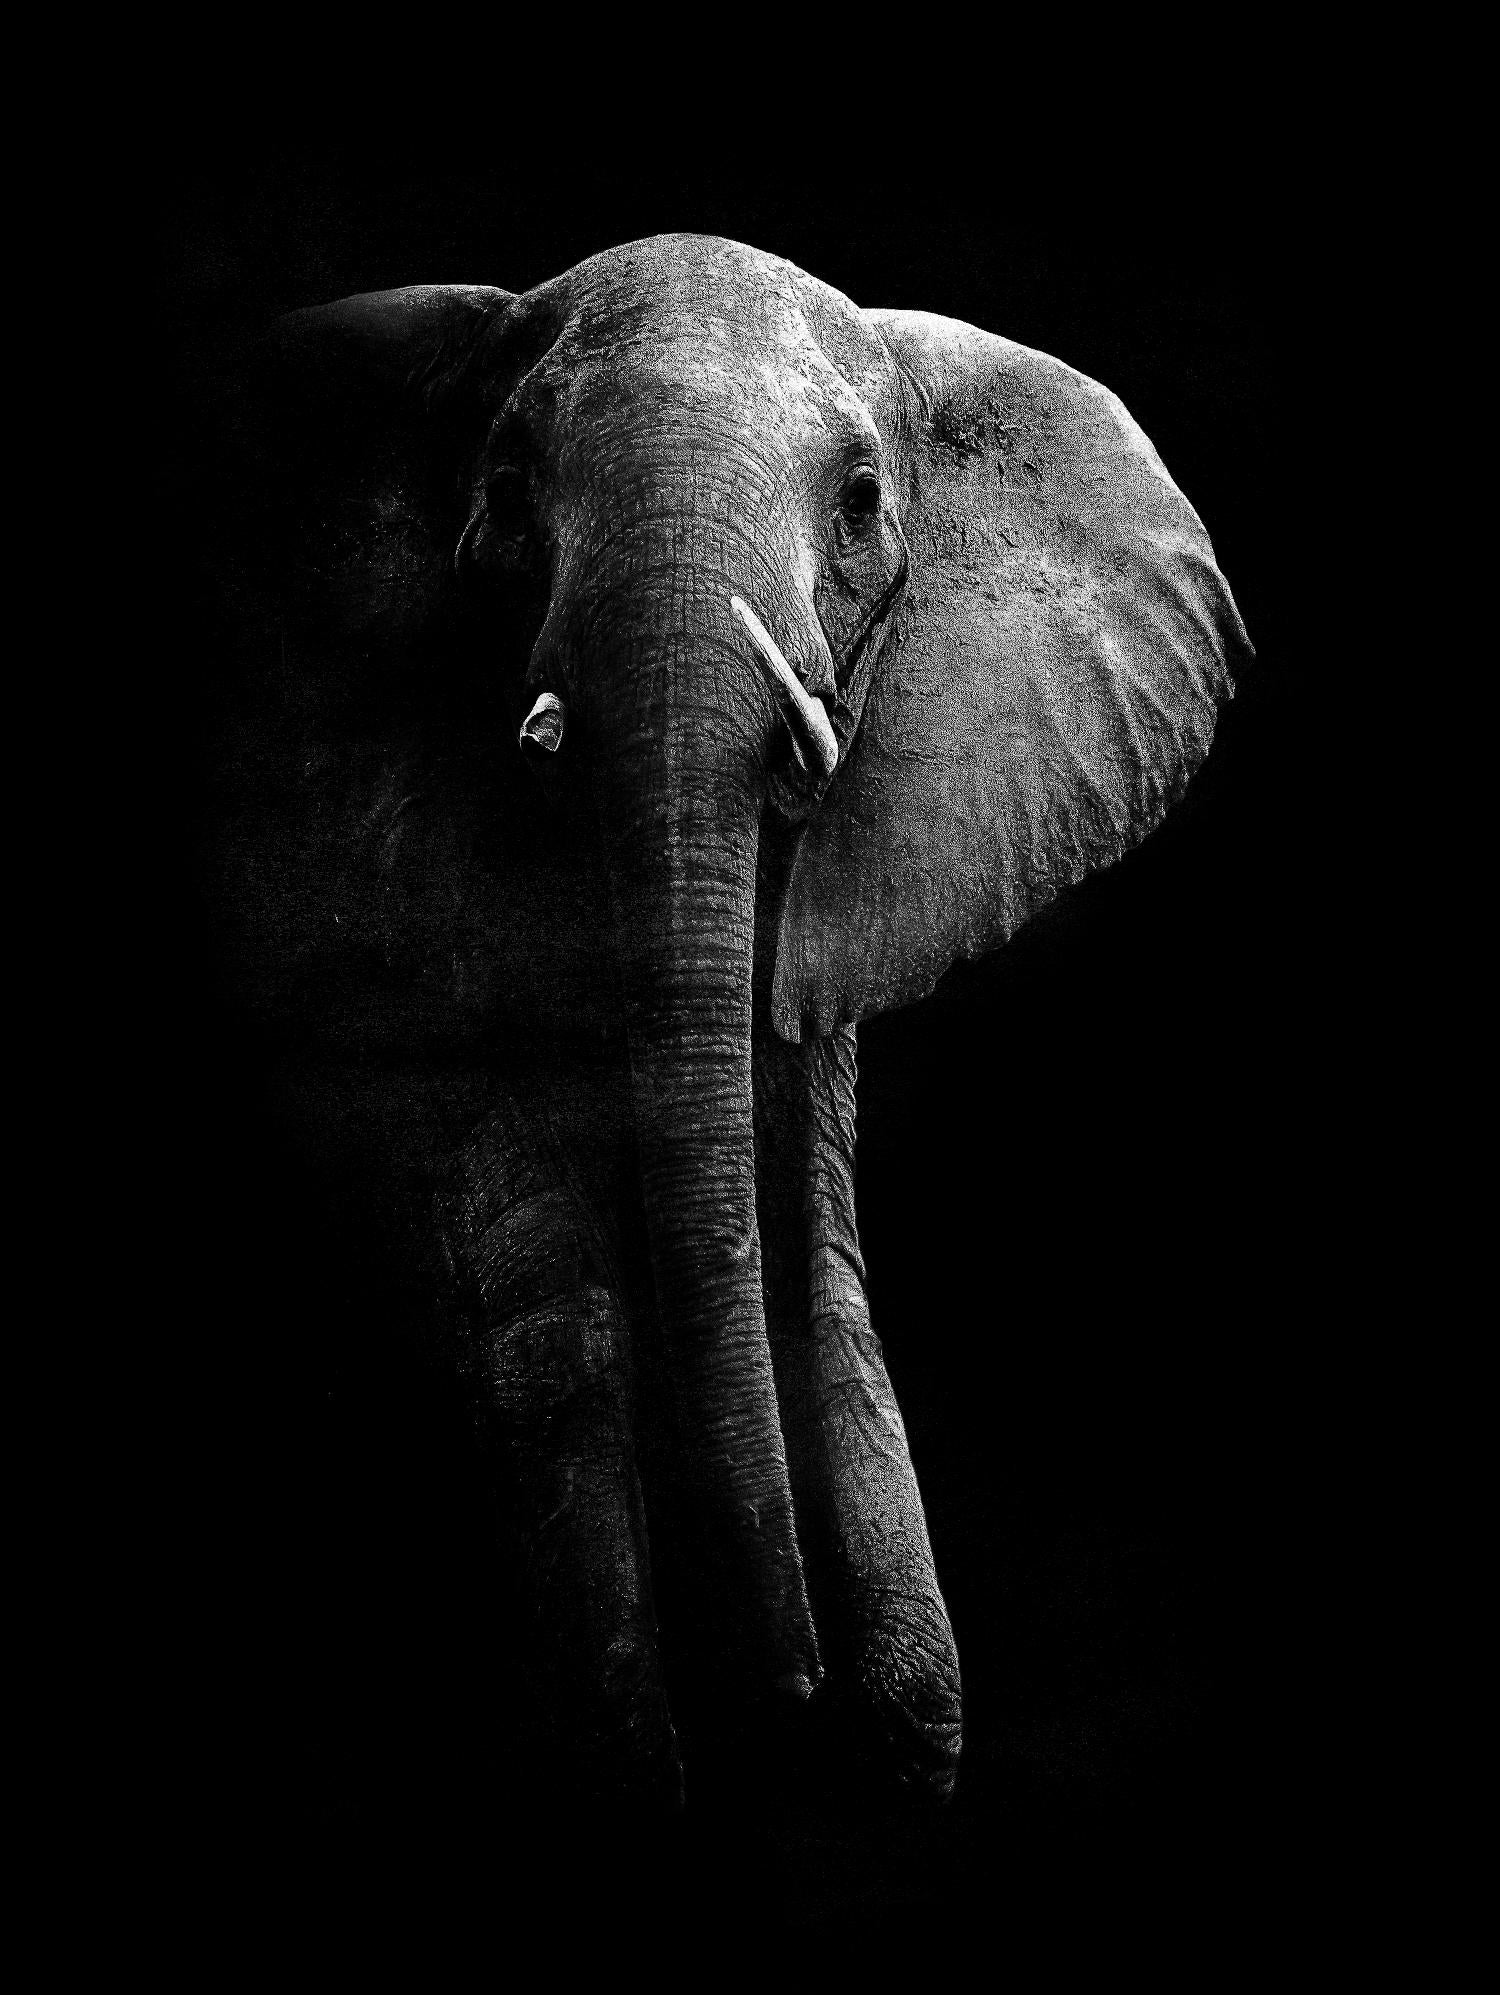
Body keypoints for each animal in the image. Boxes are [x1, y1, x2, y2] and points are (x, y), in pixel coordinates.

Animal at [208, 232, 1251, 1813]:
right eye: (506, 485)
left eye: (864, 500)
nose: (796, 1696)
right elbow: (510, 1242)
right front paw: (638, 1762)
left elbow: (807, 1227)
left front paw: (902, 1737)